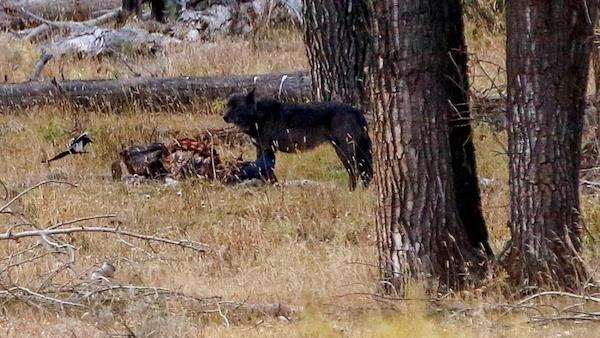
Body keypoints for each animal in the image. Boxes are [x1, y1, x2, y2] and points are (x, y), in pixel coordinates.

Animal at [223, 89, 372, 190]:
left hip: (344, 151)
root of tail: (356, 110)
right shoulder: (260, 149)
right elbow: (260, 168)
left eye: (236, 107)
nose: (224, 117)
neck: (257, 115)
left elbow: (268, 170)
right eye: (227, 105)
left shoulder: (268, 149)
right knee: (365, 172)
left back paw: (351, 191)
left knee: (355, 171)